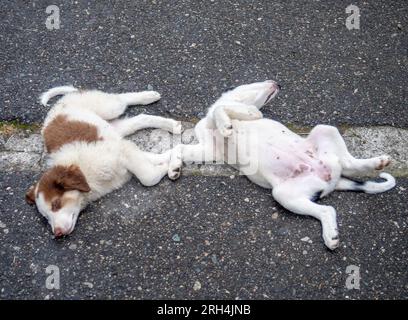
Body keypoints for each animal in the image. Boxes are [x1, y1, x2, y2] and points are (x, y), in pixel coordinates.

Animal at [24, 86, 179, 236]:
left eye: (56, 204)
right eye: (46, 218)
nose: (57, 234)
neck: (85, 172)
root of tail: (61, 101)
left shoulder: (122, 150)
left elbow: (148, 177)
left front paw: (170, 165)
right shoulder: (125, 149)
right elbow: (153, 158)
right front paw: (175, 161)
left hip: (108, 108)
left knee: (122, 99)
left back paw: (149, 96)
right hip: (115, 128)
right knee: (140, 119)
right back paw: (172, 124)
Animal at [169, 80, 396, 250]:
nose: (277, 83)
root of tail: (332, 178)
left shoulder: (245, 113)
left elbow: (226, 109)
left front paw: (226, 125)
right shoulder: (209, 150)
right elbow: (179, 148)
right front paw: (174, 167)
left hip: (324, 131)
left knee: (347, 166)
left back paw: (378, 162)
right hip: (287, 194)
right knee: (329, 205)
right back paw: (331, 234)